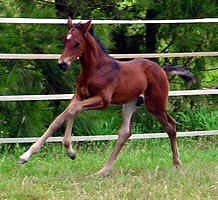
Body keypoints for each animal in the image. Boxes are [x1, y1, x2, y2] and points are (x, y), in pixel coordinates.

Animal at [19, 18, 192, 175]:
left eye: (77, 43)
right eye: (64, 41)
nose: (62, 64)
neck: (95, 69)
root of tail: (162, 69)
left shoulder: (102, 100)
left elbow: (71, 112)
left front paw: (27, 155)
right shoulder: (79, 96)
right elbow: (65, 115)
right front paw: (69, 152)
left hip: (155, 104)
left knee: (170, 126)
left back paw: (176, 164)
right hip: (131, 102)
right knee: (125, 133)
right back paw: (103, 171)